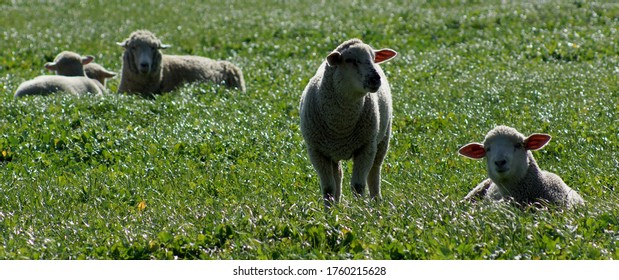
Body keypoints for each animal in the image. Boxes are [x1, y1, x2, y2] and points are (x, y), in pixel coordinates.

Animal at [300, 38, 398, 207]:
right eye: (349, 60)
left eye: (373, 58)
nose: (375, 78)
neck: (341, 126)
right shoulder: (317, 151)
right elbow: (328, 188)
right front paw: (329, 211)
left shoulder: (366, 147)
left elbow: (358, 186)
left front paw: (359, 209)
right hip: (332, 152)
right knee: (337, 176)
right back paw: (337, 204)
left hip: (383, 139)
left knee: (374, 172)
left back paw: (376, 202)